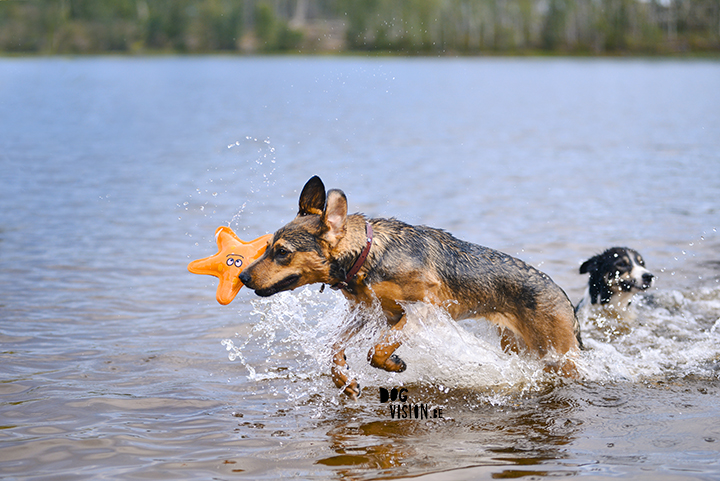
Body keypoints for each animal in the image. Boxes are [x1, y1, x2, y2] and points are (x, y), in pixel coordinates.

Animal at [239, 176, 584, 398]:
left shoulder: (422, 311)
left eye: (282, 252)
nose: (242, 277)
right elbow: (334, 347)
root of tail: (564, 296)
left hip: (559, 354)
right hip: (518, 345)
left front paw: (393, 364)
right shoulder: (366, 311)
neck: (367, 255)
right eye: (267, 247)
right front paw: (344, 380)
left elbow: (378, 349)